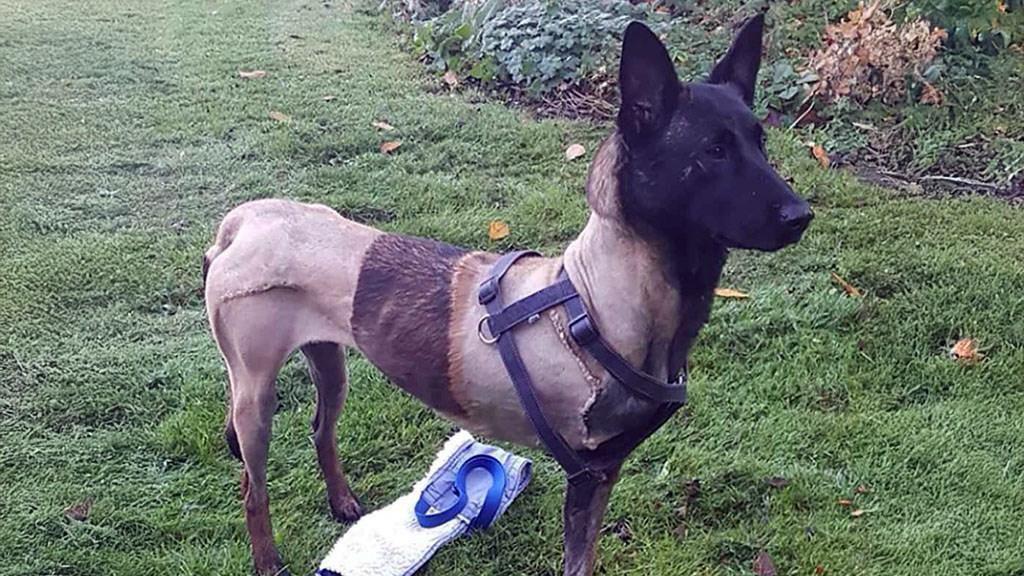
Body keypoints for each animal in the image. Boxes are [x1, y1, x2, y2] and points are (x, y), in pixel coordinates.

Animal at [201, 14, 806, 573]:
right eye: (713, 151)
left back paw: (342, 501)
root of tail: (244, 220)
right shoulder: (587, 475)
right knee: (253, 487)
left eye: (760, 142)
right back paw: (267, 558)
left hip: (331, 363)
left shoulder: (604, 474)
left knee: (322, 433)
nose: (801, 215)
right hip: (254, 395)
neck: (596, 296)